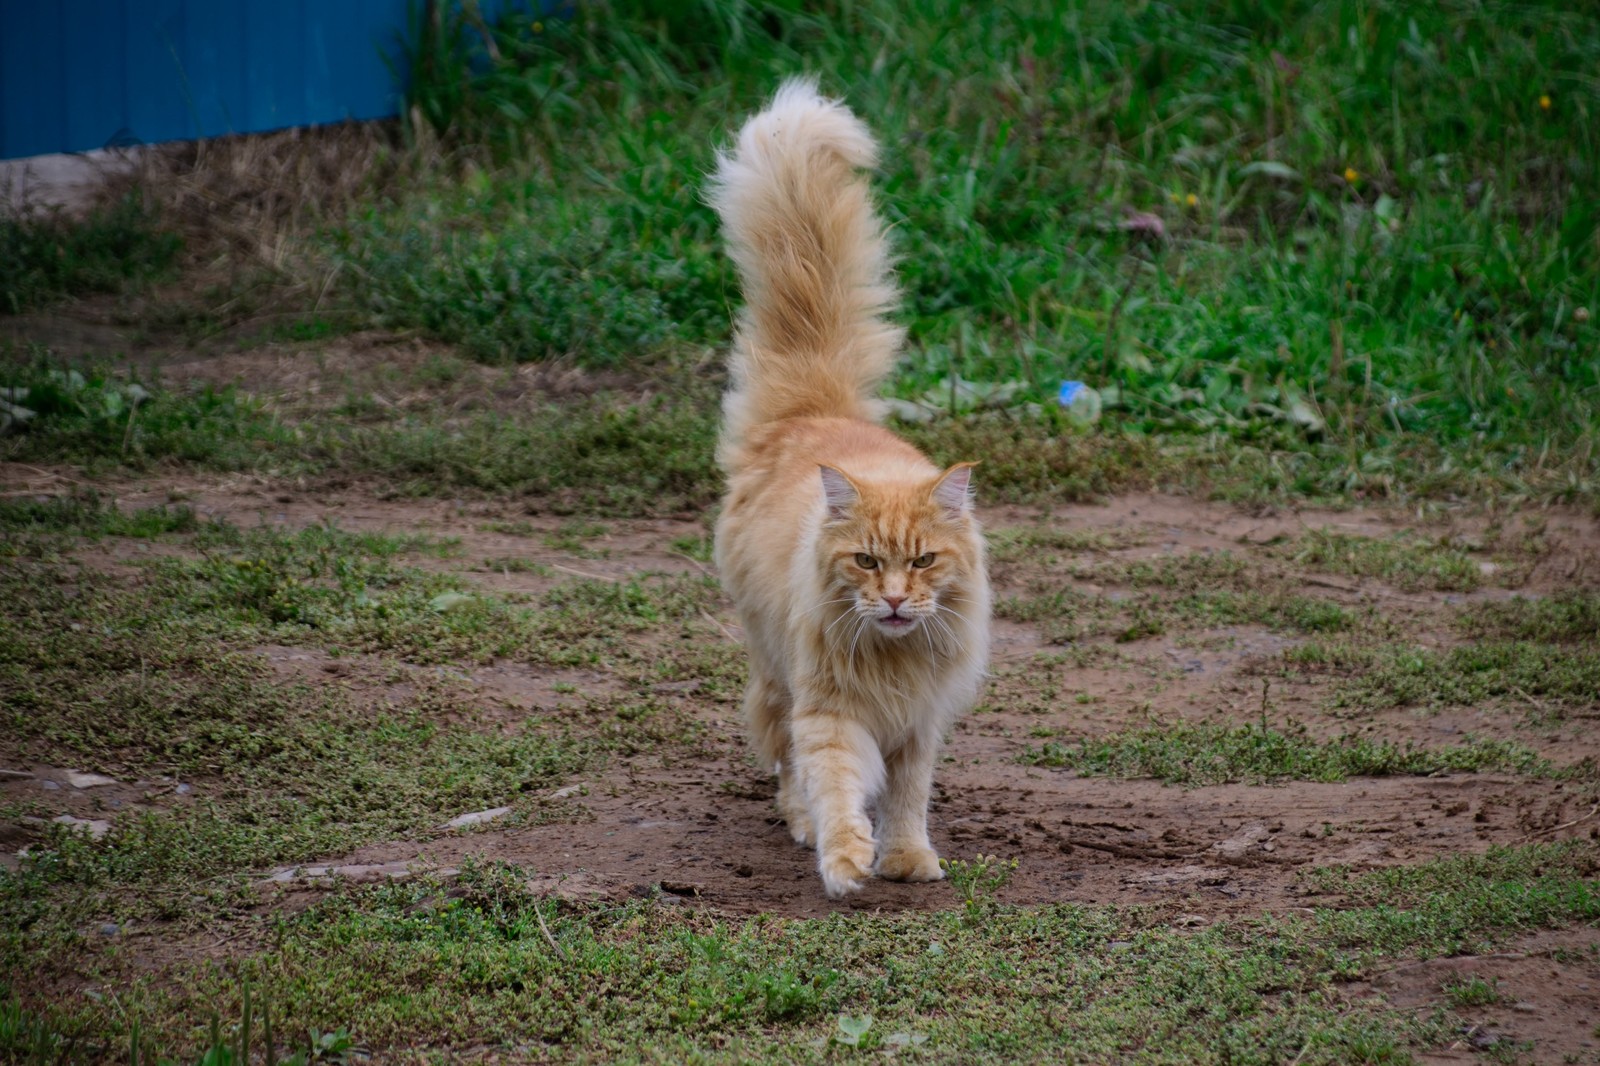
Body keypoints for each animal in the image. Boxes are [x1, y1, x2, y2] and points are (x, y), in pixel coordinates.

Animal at [710, 83, 985, 889]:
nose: (892, 601)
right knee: (783, 757)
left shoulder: (918, 725)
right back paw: (800, 823)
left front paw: (907, 859)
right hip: (777, 671)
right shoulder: (833, 713)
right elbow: (834, 784)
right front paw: (844, 860)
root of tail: (816, 411)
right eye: (865, 561)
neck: (894, 661)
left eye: (923, 561)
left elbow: (907, 797)